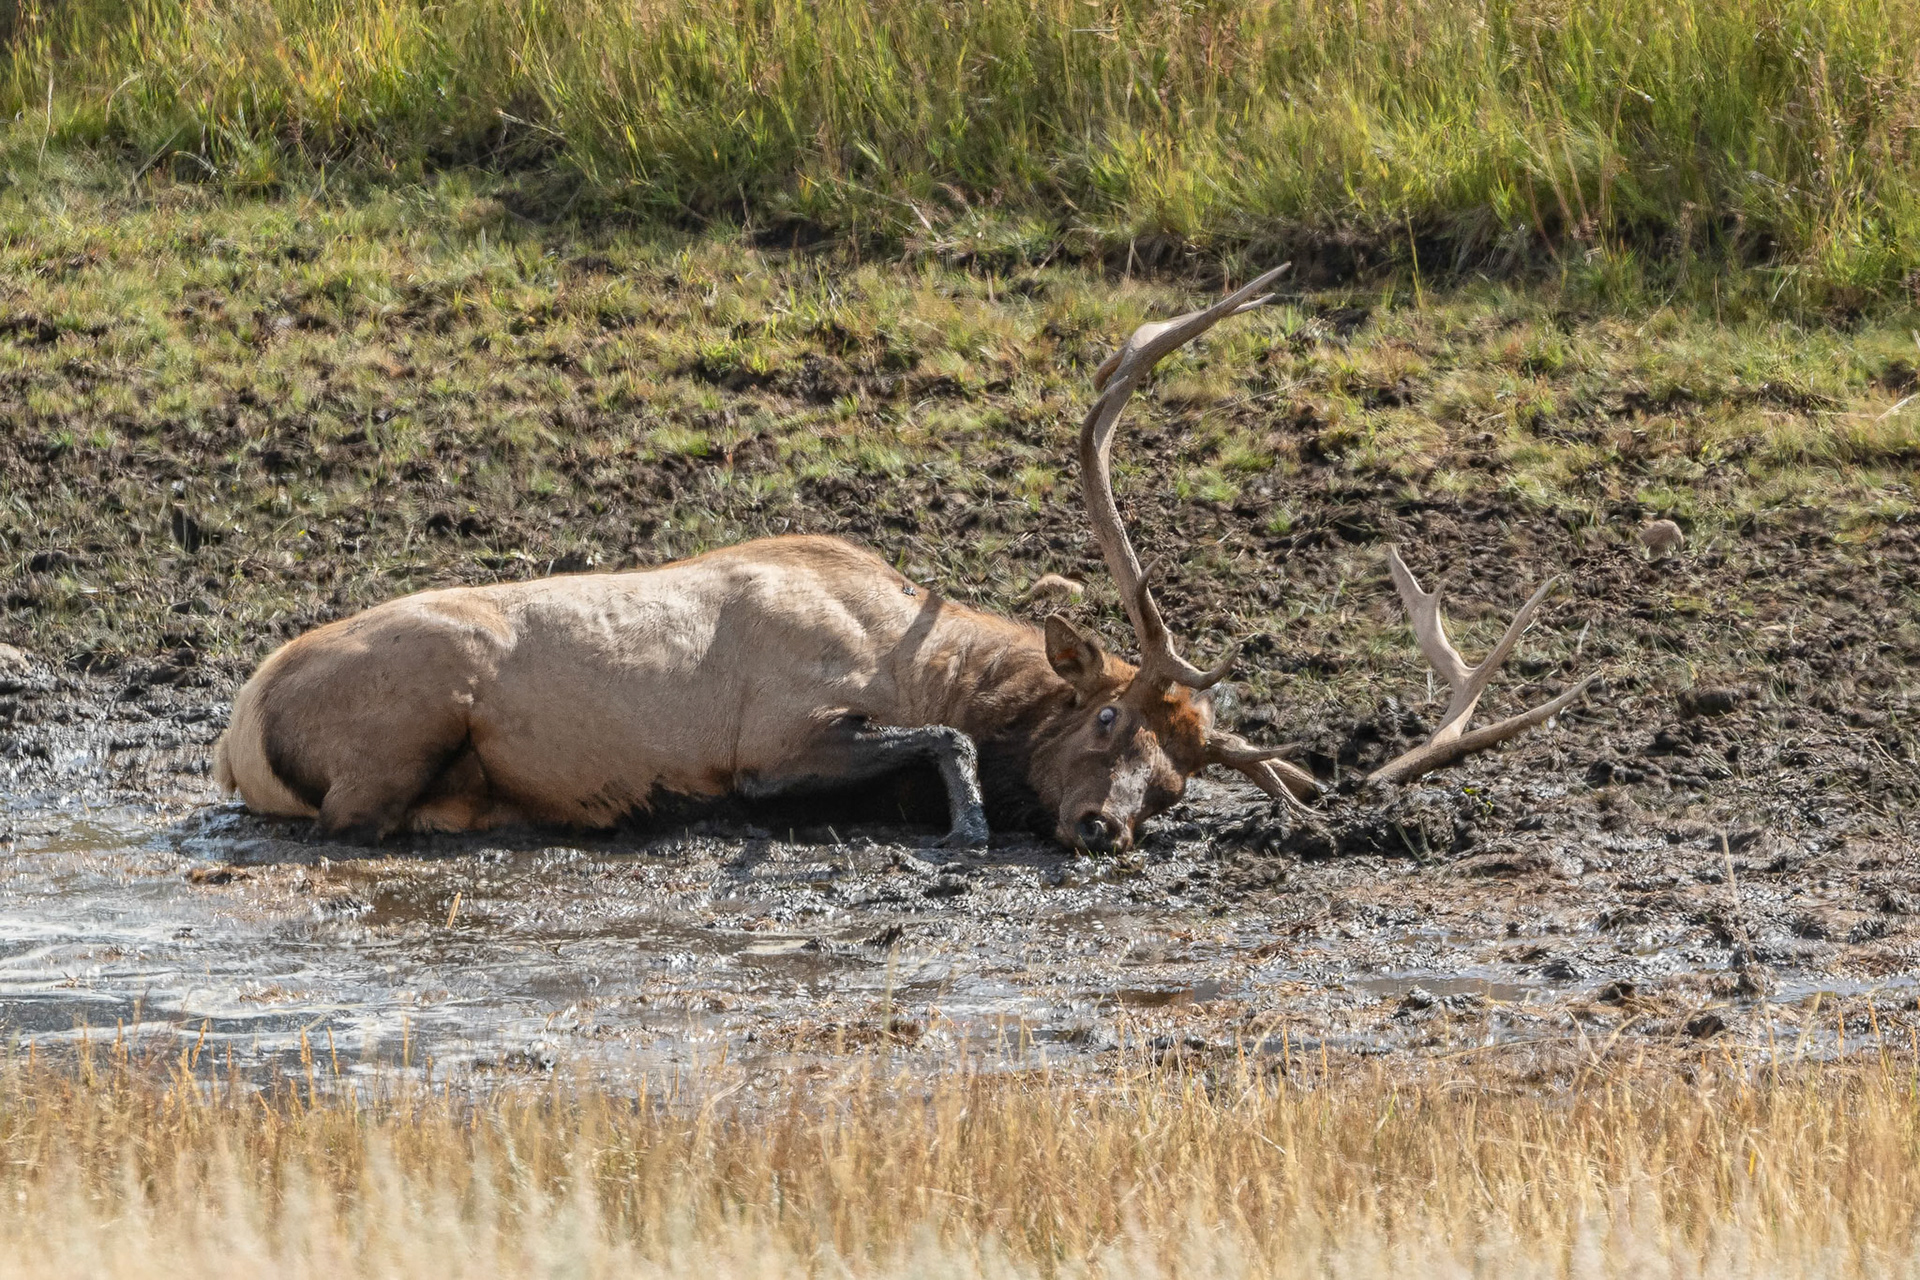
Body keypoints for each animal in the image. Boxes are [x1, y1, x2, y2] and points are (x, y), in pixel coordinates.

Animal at [215, 267, 1593, 852]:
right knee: (352, 819)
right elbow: (949, 746)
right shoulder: (774, 735)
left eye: (1177, 786)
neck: (914, 644)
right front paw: (972, 822)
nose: (1106, 827)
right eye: (1106, 719)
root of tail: (239, 723)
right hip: (409, 716)